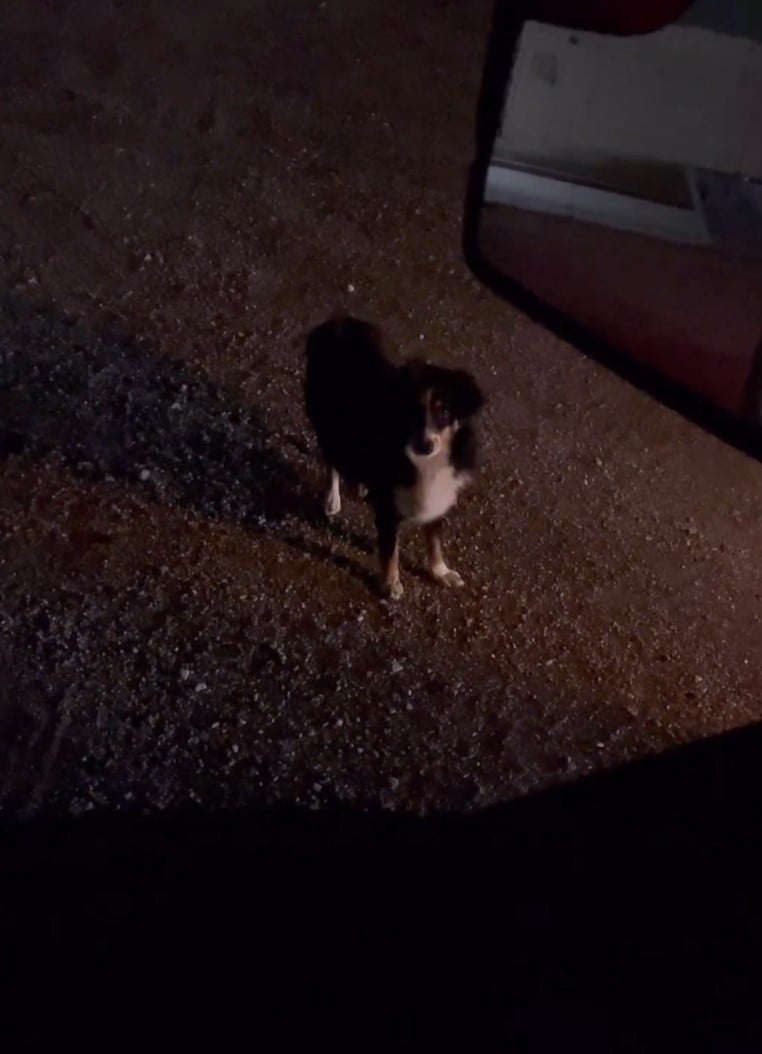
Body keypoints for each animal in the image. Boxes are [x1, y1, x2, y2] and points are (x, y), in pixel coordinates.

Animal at [303, 314, 482, 602]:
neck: (426, 464)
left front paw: (440, 571)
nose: (425, 444)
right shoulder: (388, 508)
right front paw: (390, 582)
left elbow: (434, 539)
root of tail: (339, 322)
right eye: (412, 410)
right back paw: (332, 498)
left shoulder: (441, 497)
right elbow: (390, 549)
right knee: (332, 463)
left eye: (444, 411)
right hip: (329, 424)